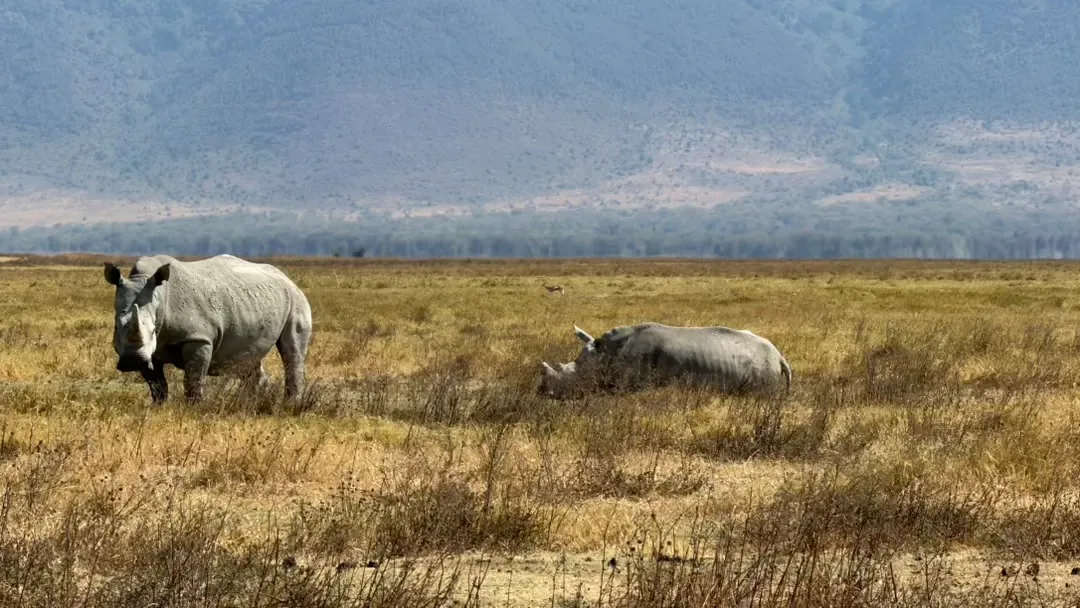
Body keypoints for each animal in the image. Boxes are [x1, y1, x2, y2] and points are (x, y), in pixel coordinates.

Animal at [103, 254, 313, 404]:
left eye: (154, 330)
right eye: (116, 327)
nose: (132, 361)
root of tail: (286, 277)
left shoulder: (198, 338)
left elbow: (193, 379)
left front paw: (193, 409)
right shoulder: (150, 352)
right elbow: (157, 385)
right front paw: (158, 407)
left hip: (296, 299)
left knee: (292, 352)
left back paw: (289, 405)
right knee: (248, 356)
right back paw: (250, 404)